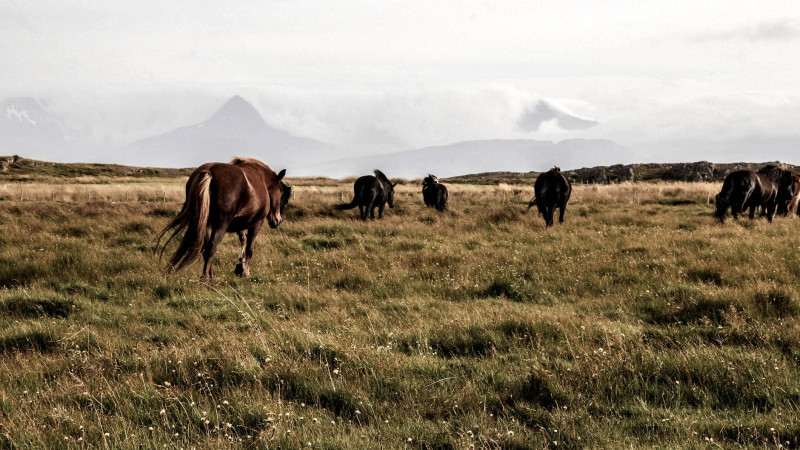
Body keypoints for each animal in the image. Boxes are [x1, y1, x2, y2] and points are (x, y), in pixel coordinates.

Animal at [156, 158, 288, 282]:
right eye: (281, 192)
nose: (278, 220)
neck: (261, 179)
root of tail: (209, 172)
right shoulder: (256, 223)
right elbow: (249, 248)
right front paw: (245, 271)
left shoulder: (237, 224)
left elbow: (243, 240)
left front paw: (240, 266)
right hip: (221, 225)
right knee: (211, 248)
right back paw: (205, 280)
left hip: (206, 224)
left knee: (205, 249)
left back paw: (211, 277)